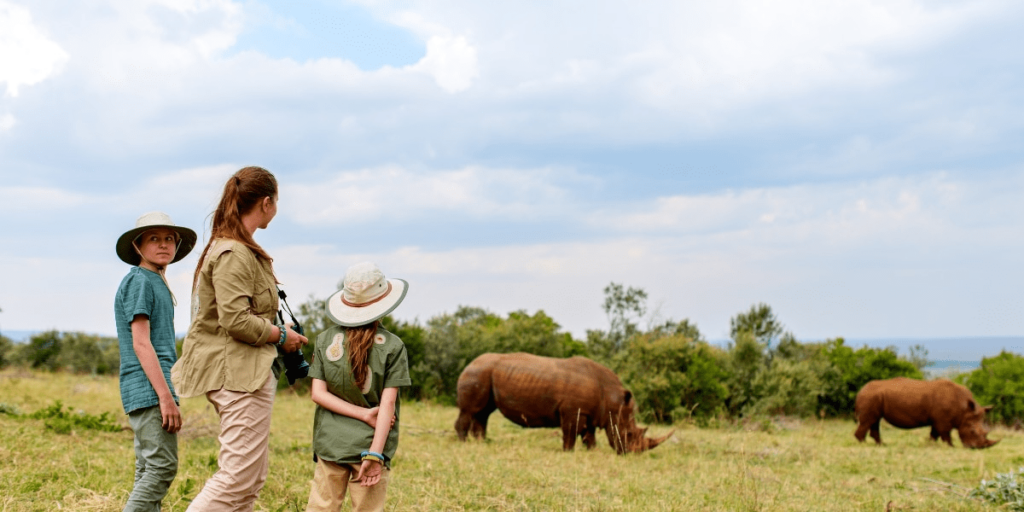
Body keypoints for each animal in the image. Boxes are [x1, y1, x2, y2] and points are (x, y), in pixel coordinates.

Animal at [456, 352, 671, 452]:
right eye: (628, 434)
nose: (632, 453)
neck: (612, 400)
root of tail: (469, 362)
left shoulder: (589, 413)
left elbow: (589, 435)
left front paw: (591, 451)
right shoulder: (572, 411)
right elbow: (570, 434)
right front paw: (568, 452)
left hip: (483, 373)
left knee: (483, 413)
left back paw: (481, 443)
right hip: (477, 373)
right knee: (471, 411)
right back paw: (464, 443)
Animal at [851, 376, 995, 448]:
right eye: (972, 431)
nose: (976, 448)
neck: (964, 409)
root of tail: (860, 391)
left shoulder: (938, 419)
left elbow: (934, 434)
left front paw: (931, 444)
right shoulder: (943, 421)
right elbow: (945, 434)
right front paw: (951, 446)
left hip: (874, 397)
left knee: (875, 420)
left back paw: (881, 445)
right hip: (870, 396)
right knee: (869, 421)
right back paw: (864, 444)